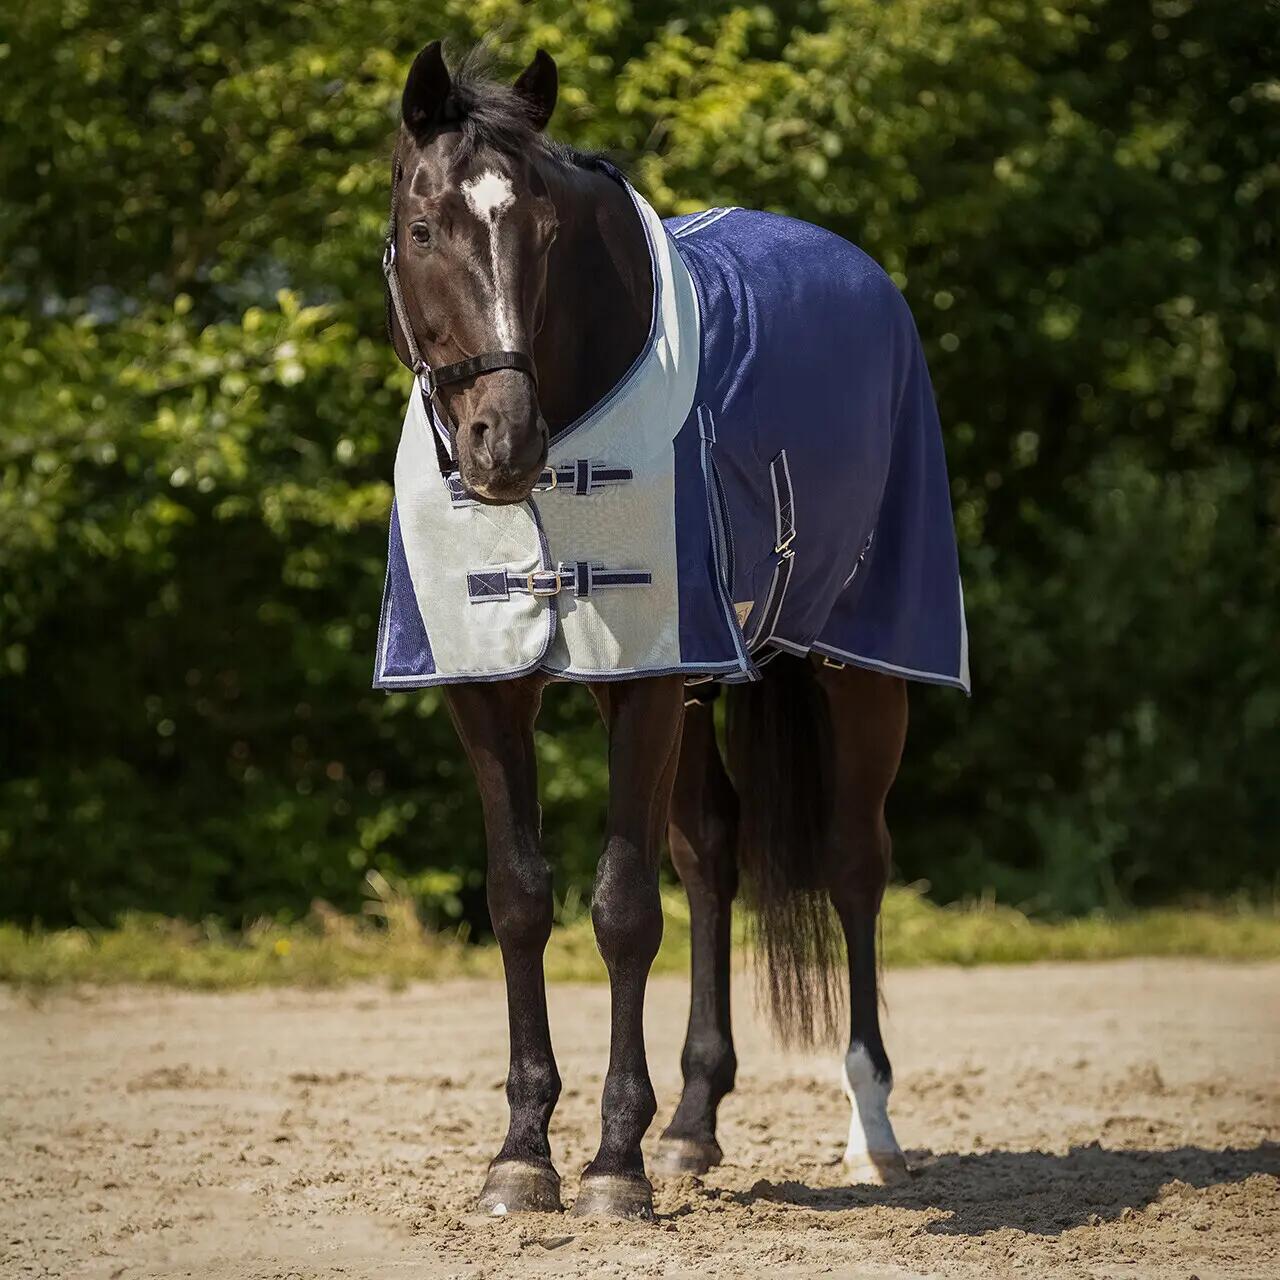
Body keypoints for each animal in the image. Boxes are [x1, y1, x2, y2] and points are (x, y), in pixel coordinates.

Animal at [377, 41, 968, 1220]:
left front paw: (612, 1165)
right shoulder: (489, 690)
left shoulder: (644, 677)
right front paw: (523, 1155)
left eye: (545, 233)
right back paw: (694, 1123)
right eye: (423, 228)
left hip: (856, 671)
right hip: (703, 688)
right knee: (711, 855)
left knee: (853, 865)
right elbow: (521, 899)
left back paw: (870, 1129)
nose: (501, 442)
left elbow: (620, 910)